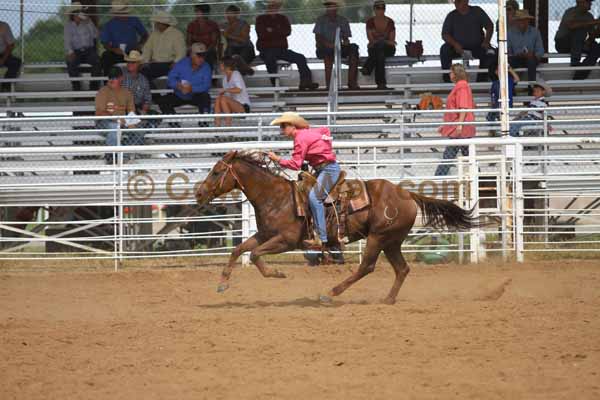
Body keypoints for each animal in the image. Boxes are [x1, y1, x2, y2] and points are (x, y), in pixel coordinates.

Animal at [195, 150, 476, 304]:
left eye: (216, 171)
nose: (199, 193)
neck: (276, 197)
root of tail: (407, 194)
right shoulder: (264, 234)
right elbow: (239, 249)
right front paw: (222, 283)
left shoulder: (285, 240)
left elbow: (253, 254)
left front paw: (277, 273)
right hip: (391, 241)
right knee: (402, 269)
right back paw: (388, 299)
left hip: (378, 237)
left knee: (366, 267)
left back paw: (330, 293)